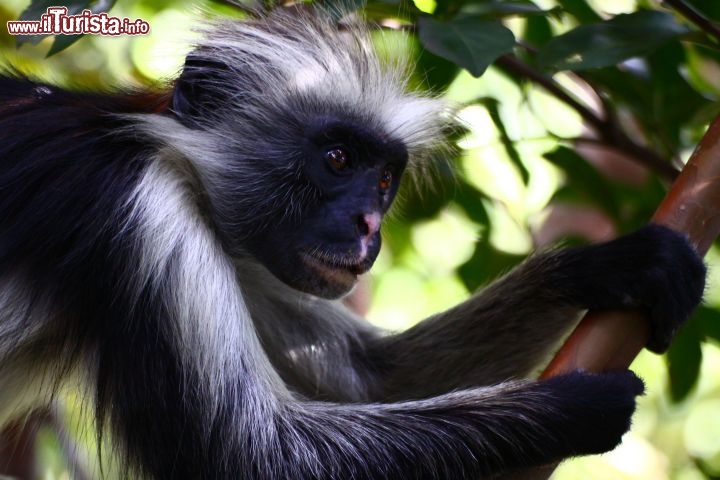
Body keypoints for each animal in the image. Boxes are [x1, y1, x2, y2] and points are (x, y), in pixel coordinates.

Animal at [0, 4, 704, 480]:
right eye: (338, 159)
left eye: (385, 179)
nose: (368, 225)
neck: (163, 147)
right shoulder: (140, 210)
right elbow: (254, 456)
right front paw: (572, 406)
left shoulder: (236, 241)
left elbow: (372, 377)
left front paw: (611, 266)